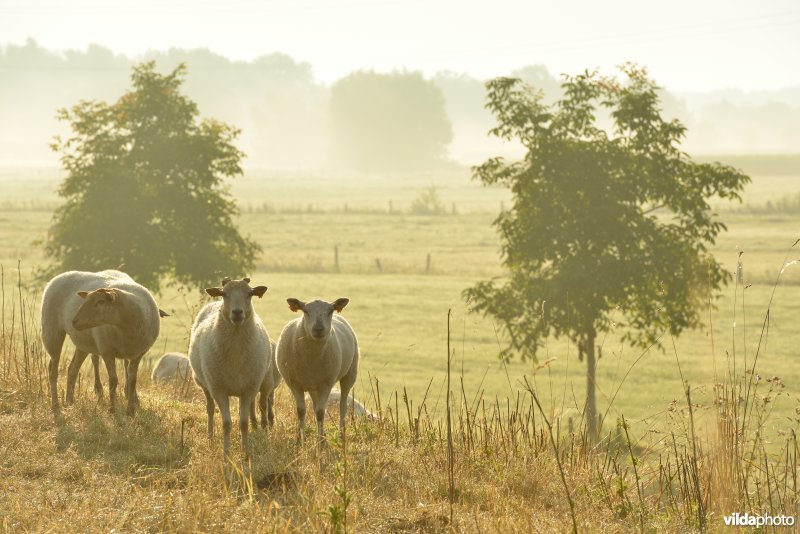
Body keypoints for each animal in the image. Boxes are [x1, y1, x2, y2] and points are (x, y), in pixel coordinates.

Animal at [39, 270, 162, 416]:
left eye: (101, 302)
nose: (74, 321)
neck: (126, 327)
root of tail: (59, 276)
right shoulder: (106, 350)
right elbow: (113, 380)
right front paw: (112, 409)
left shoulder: (138, 354)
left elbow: (132, 381)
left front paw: (131, 411)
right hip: (52, 331)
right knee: (53, 371)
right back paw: (56, 405)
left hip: (83, 343)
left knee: (72, 369)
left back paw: (69, 401)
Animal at [188, 278, 272, 458]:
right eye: (224, 293)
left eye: (250, 293)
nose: (237, 312)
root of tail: (214, 303)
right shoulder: (219, 389)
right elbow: (226, 423)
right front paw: (226, 454)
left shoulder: (248, 389)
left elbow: (244, 423)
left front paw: (245, 453)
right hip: (205, 383)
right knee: (210, 409)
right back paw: (210, 437)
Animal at [278, 300, 360, 446]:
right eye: (305, 311)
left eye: (330, 310)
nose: (318, 329)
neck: (311, 359)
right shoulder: (295, 384)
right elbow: (301, 411)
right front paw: (300, 441)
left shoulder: (326, 384)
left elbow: (321, 413)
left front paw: (320, 443)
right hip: (313, 385)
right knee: (315, 405)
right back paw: (324, 436)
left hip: (349, 374)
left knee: (342, 407)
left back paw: (341, 436)